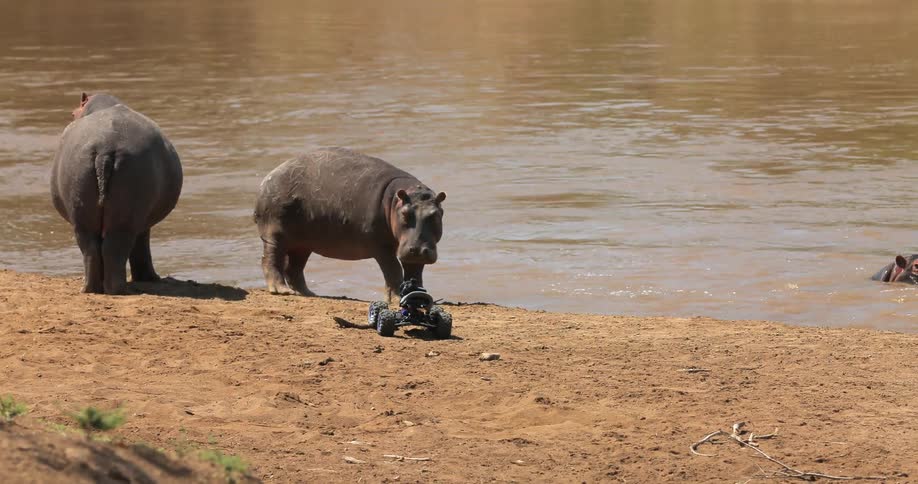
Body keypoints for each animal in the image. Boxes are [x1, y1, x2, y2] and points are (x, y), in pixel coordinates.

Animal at [50, 92, 183, 294]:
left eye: (72, 113)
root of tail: (106, 148)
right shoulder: (141, 222)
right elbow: (141, 246)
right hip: (124, 218)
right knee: (115, 248)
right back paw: (119, 290)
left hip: (84, 218)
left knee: (93, 249)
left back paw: (92, 289)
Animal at [254, 147, 446, 299]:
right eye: (405, 214)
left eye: (436, 215)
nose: (418, 249)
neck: (395, 202)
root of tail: (266, 179)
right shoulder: (380, 247)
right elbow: (393, 270)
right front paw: (397, 299)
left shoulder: (409, 250)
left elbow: (415, 273)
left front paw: (416, 295)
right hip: (275, 232)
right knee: (271, 258)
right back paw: (281, 290)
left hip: (303, 243)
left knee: (294, 268)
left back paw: (309, 294)